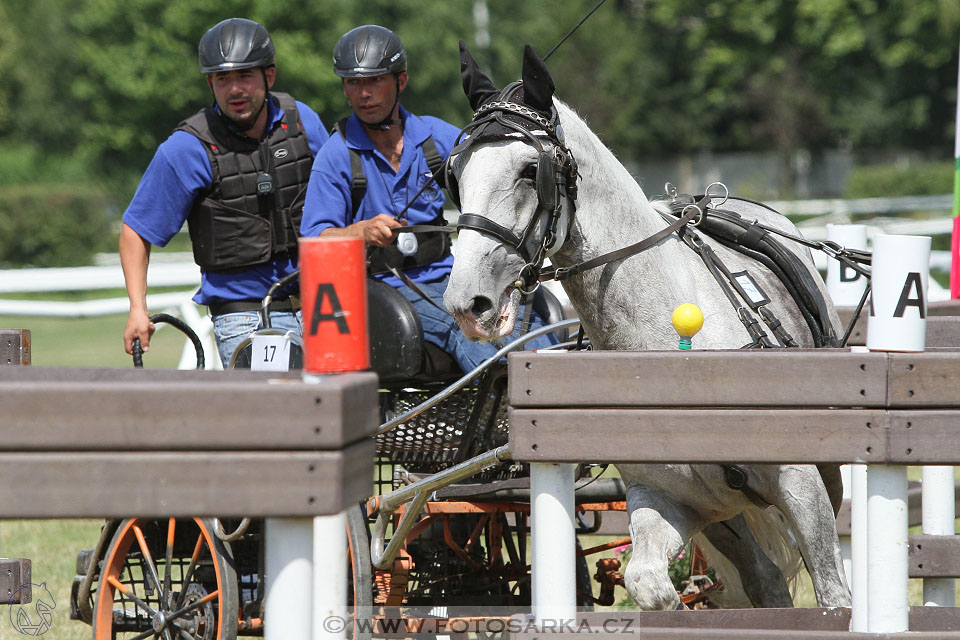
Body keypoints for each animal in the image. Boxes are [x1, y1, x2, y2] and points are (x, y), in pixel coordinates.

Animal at [440, 42, 848, 612]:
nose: (466, 303)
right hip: (725, 515)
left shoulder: (801, 483)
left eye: (528, 170)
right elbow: (648, 585)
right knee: (762, 579)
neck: (672, 350)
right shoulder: (667, 499)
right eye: (454, 175)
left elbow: (835, 595)